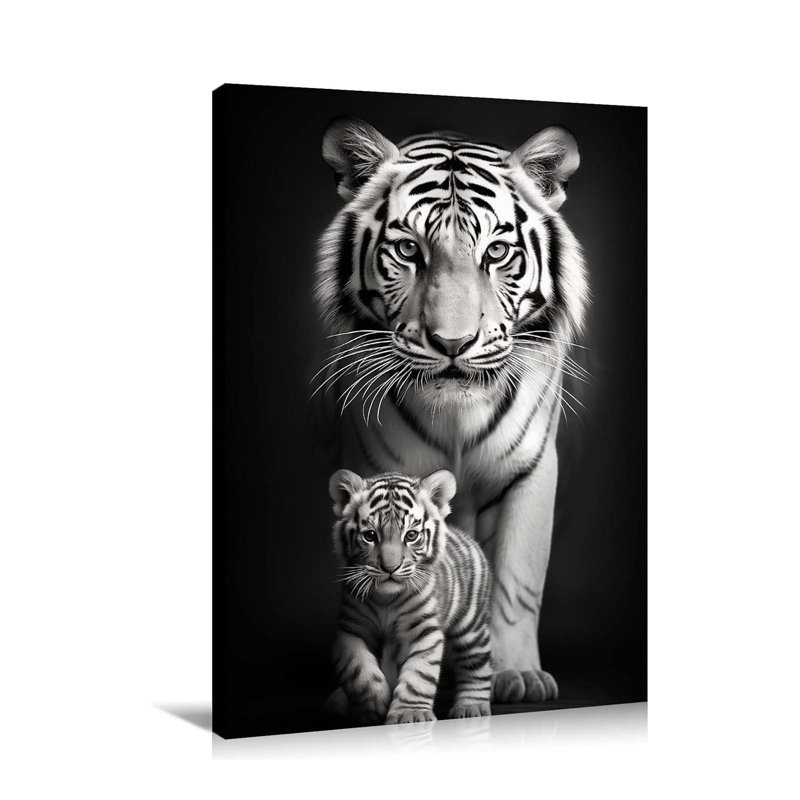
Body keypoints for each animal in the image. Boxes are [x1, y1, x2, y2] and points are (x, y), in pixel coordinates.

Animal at [328, 468, 492, 724]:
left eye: (411, 535)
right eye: (370, 536)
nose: (390, 568)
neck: (385, 599)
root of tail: (465, 536)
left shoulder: (424, 631)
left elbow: (419, 675)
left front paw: (411, 713)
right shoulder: (351, 630)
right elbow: (358, 669)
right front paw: (374, 705)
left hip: (471, 625)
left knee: (476, 665)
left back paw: (470, 707)